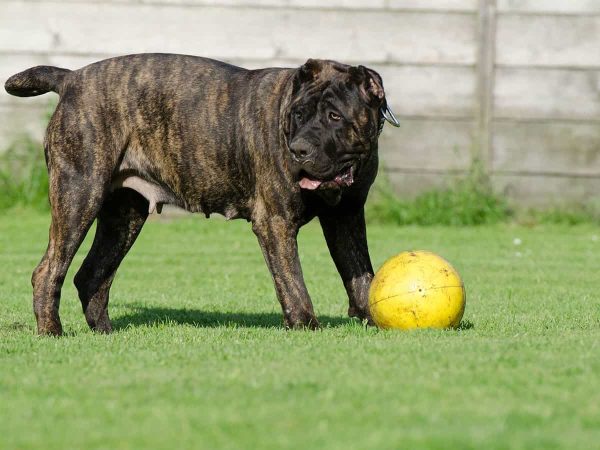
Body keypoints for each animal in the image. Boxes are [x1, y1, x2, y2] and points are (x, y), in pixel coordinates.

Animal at [4, 52, 400, 334]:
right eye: (298, 114)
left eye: (335, 116)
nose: (298, 149)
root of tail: (71, 78)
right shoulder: (275, 221)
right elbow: (292, 281)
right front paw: (306, 325)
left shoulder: (346, 217)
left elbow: (360, 273)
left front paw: (372, 317)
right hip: (78, 196)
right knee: (49, 270)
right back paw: (52, 332)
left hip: (123, 216)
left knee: (92, 274)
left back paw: (104, 332)